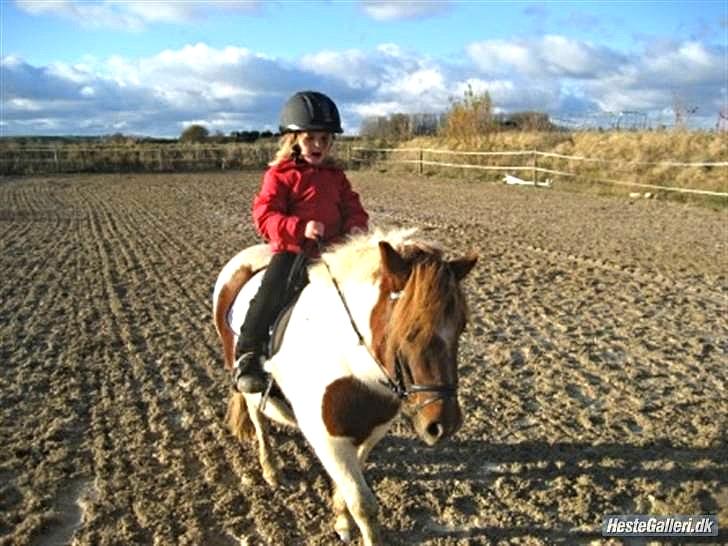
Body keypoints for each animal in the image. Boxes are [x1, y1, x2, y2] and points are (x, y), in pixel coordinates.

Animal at [210, 228, 478, 544]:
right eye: (411, 330)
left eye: (461, 327)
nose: (442, 425)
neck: (353, 368)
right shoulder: (329, 441)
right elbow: (364, 506)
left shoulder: (371, 432)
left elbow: (349, 491)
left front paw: (341, 519)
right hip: (248, 385)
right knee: (259, 422)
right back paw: (272, 470)